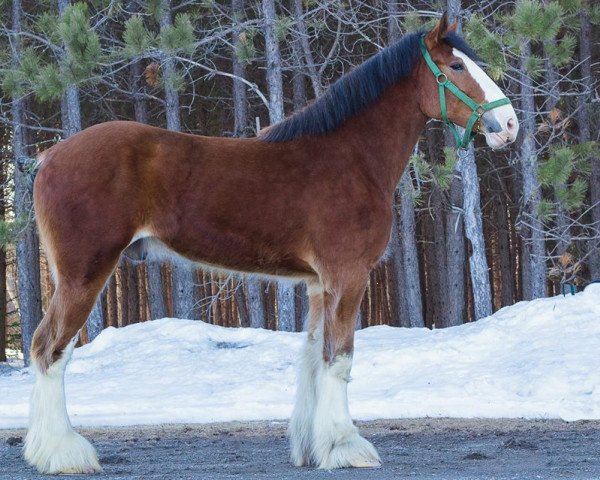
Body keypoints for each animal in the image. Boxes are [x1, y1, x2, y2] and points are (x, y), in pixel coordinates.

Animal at [23, 13, 516, 474]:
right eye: (456, 65)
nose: (509, 123)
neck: (350, 158)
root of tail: (50, 155)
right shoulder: (348, 276)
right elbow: (339, 359)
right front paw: (346, 447)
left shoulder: (319, 284)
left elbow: (314, 358)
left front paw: (313, 447)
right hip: (83, 275)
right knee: (50, 349)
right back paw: (64, 453)